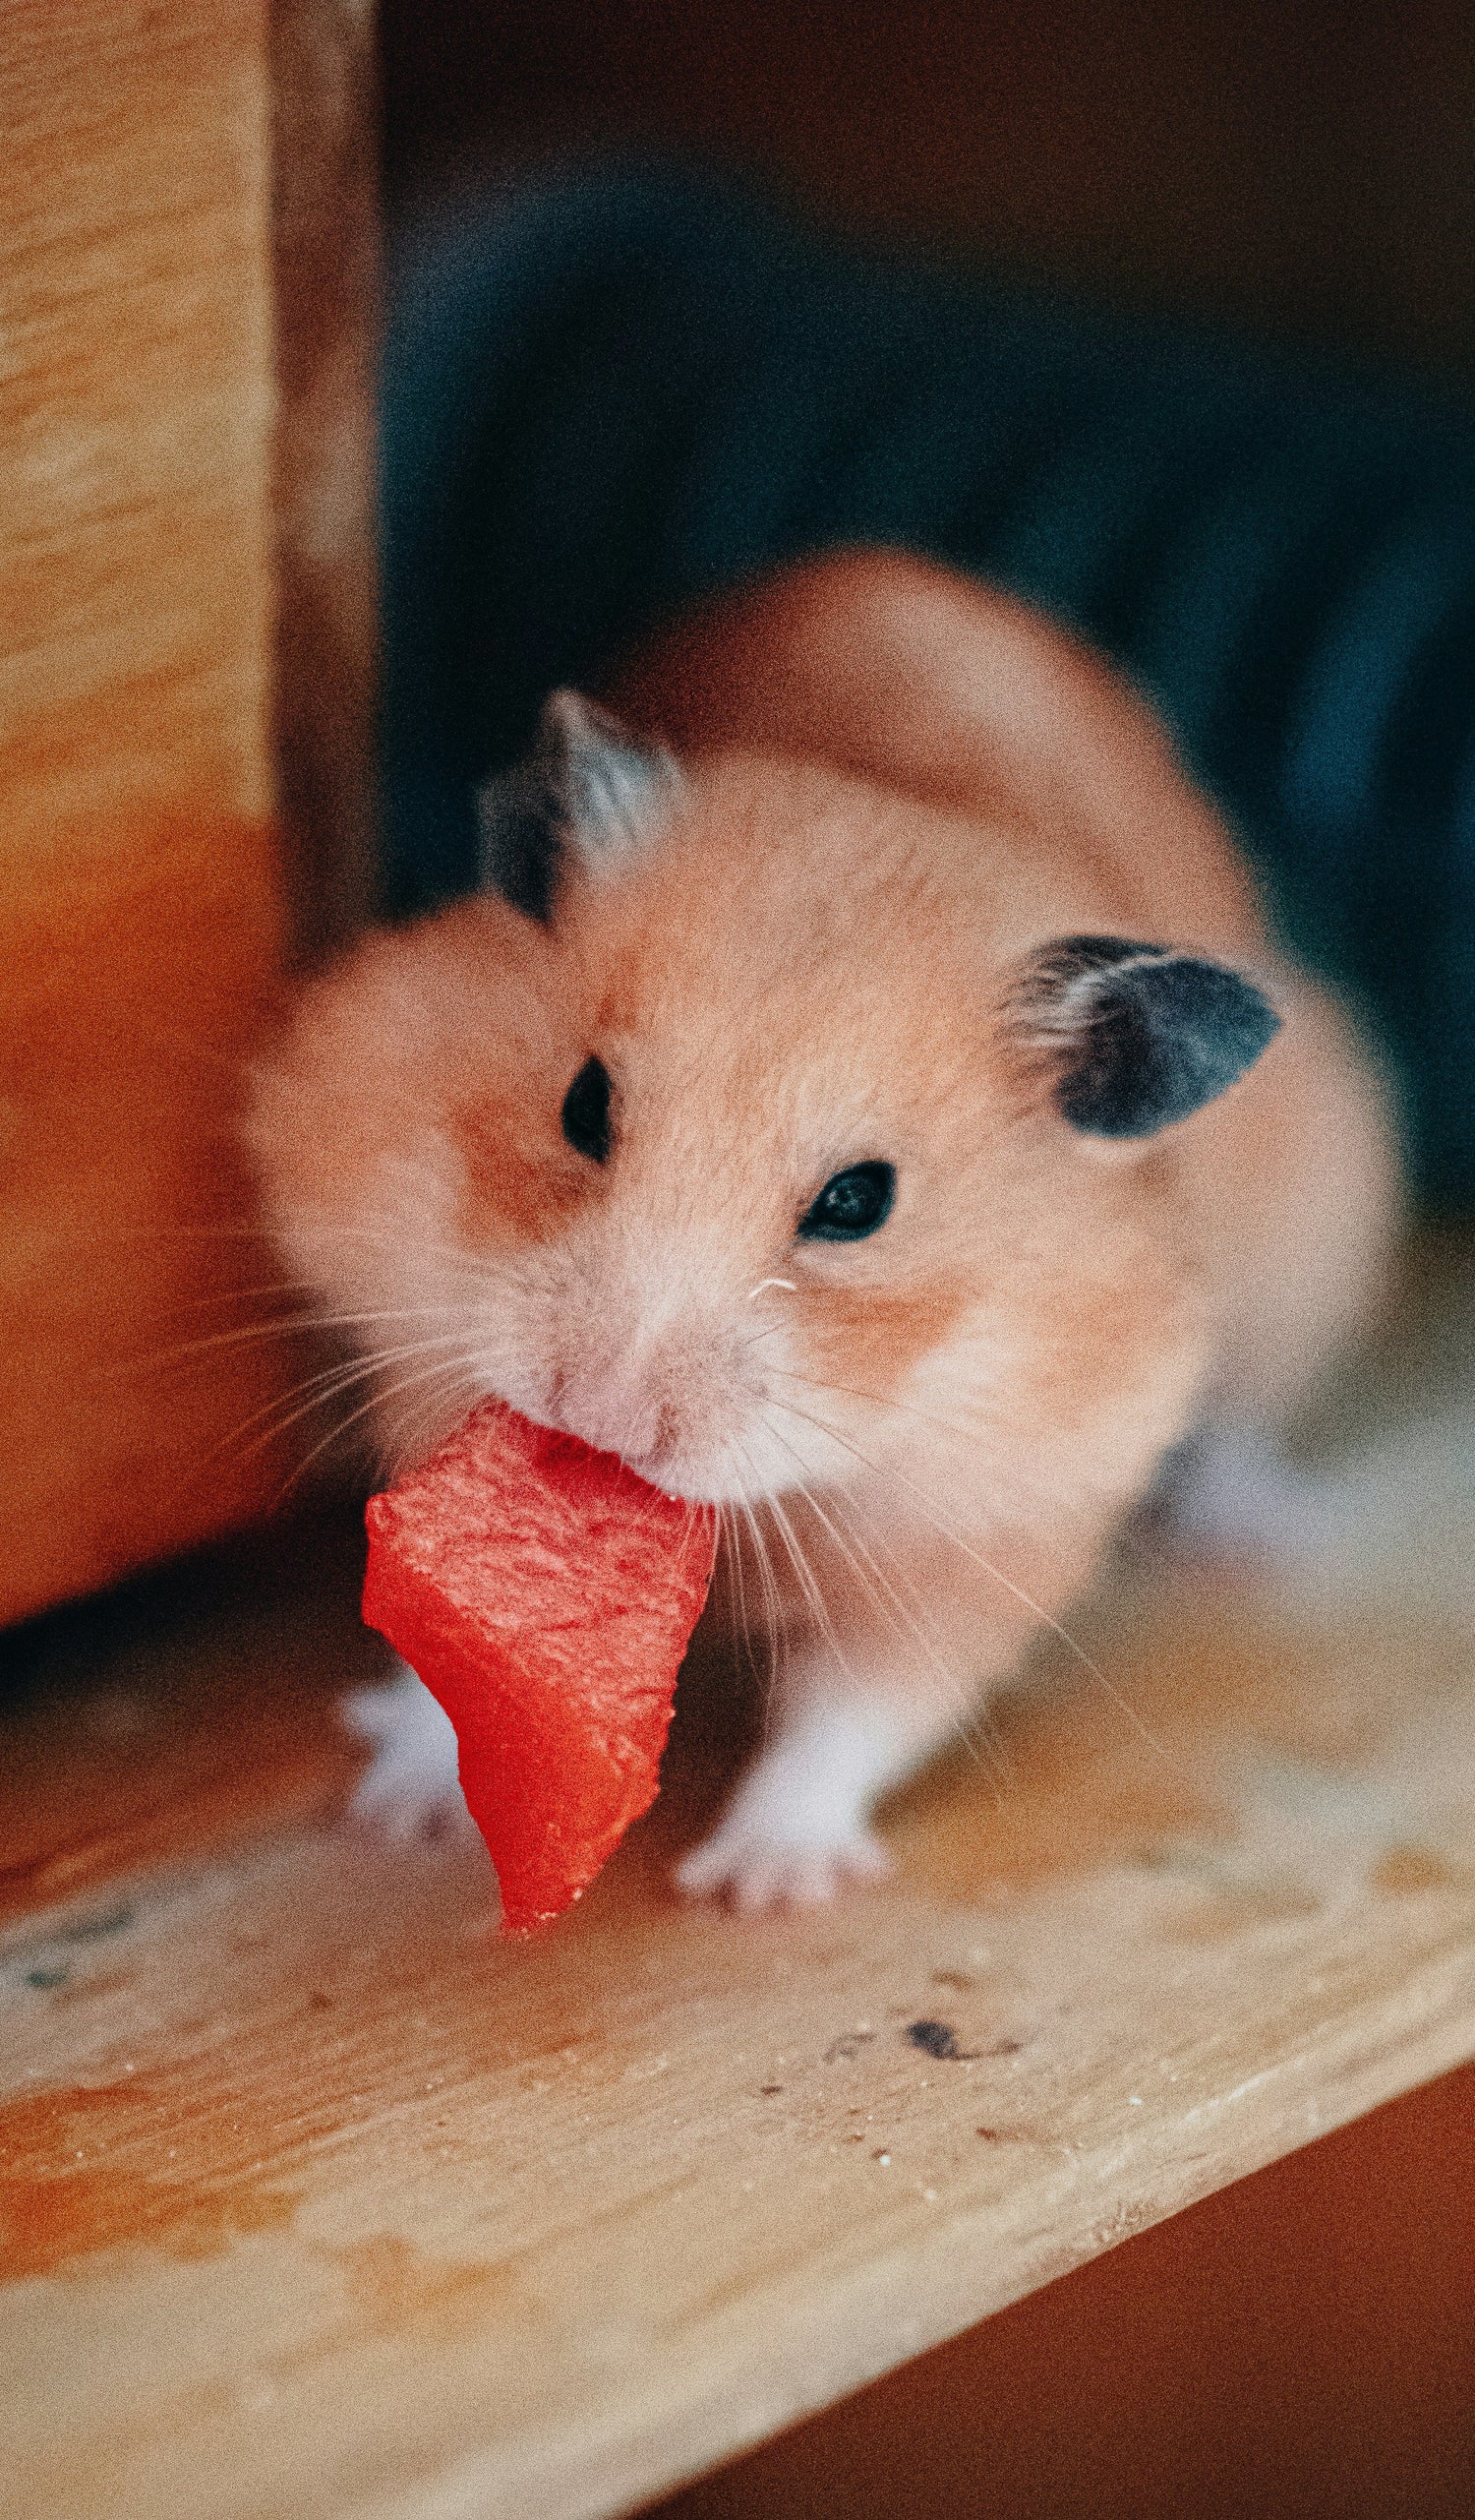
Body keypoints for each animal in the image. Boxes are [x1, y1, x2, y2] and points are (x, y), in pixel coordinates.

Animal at [246, 549, 1399, 1909]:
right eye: (584, 1106)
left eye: (859, 1204)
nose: (600, 1417)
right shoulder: (414, 1347)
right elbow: (443, 1647)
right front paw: (395, 1810)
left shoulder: (991, 1519)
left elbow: (858, 1711)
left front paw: (755, 1888)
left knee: (1248, 1426)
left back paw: (1257, 1542)